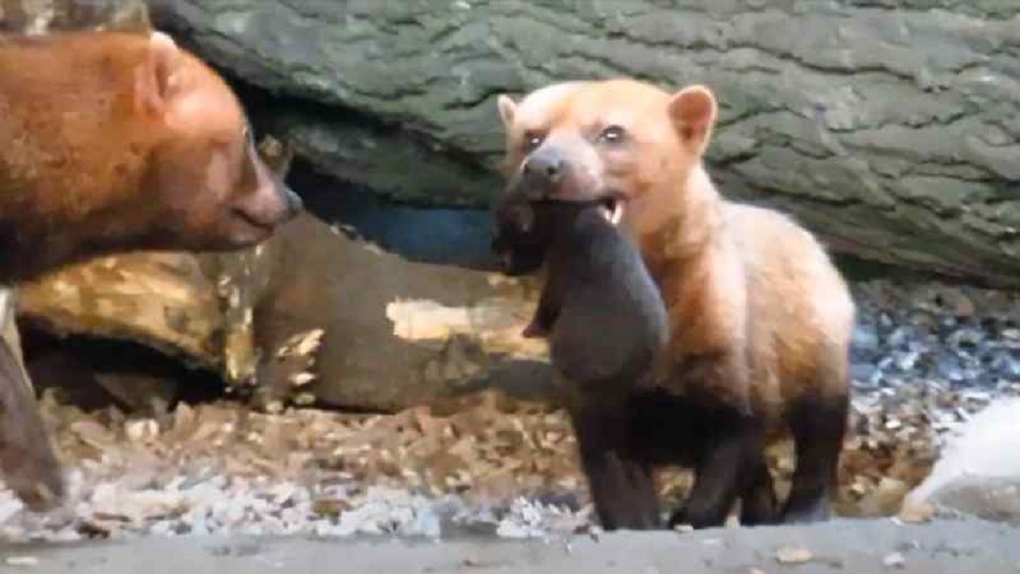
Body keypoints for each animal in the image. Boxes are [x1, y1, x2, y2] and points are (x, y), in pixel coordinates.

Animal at [491, 196, 669, 530]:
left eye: (504, 230)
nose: (495, 251)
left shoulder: (557, 272)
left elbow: (546, 308)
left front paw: (532, 328)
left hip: (590, 404)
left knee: (604, 462)